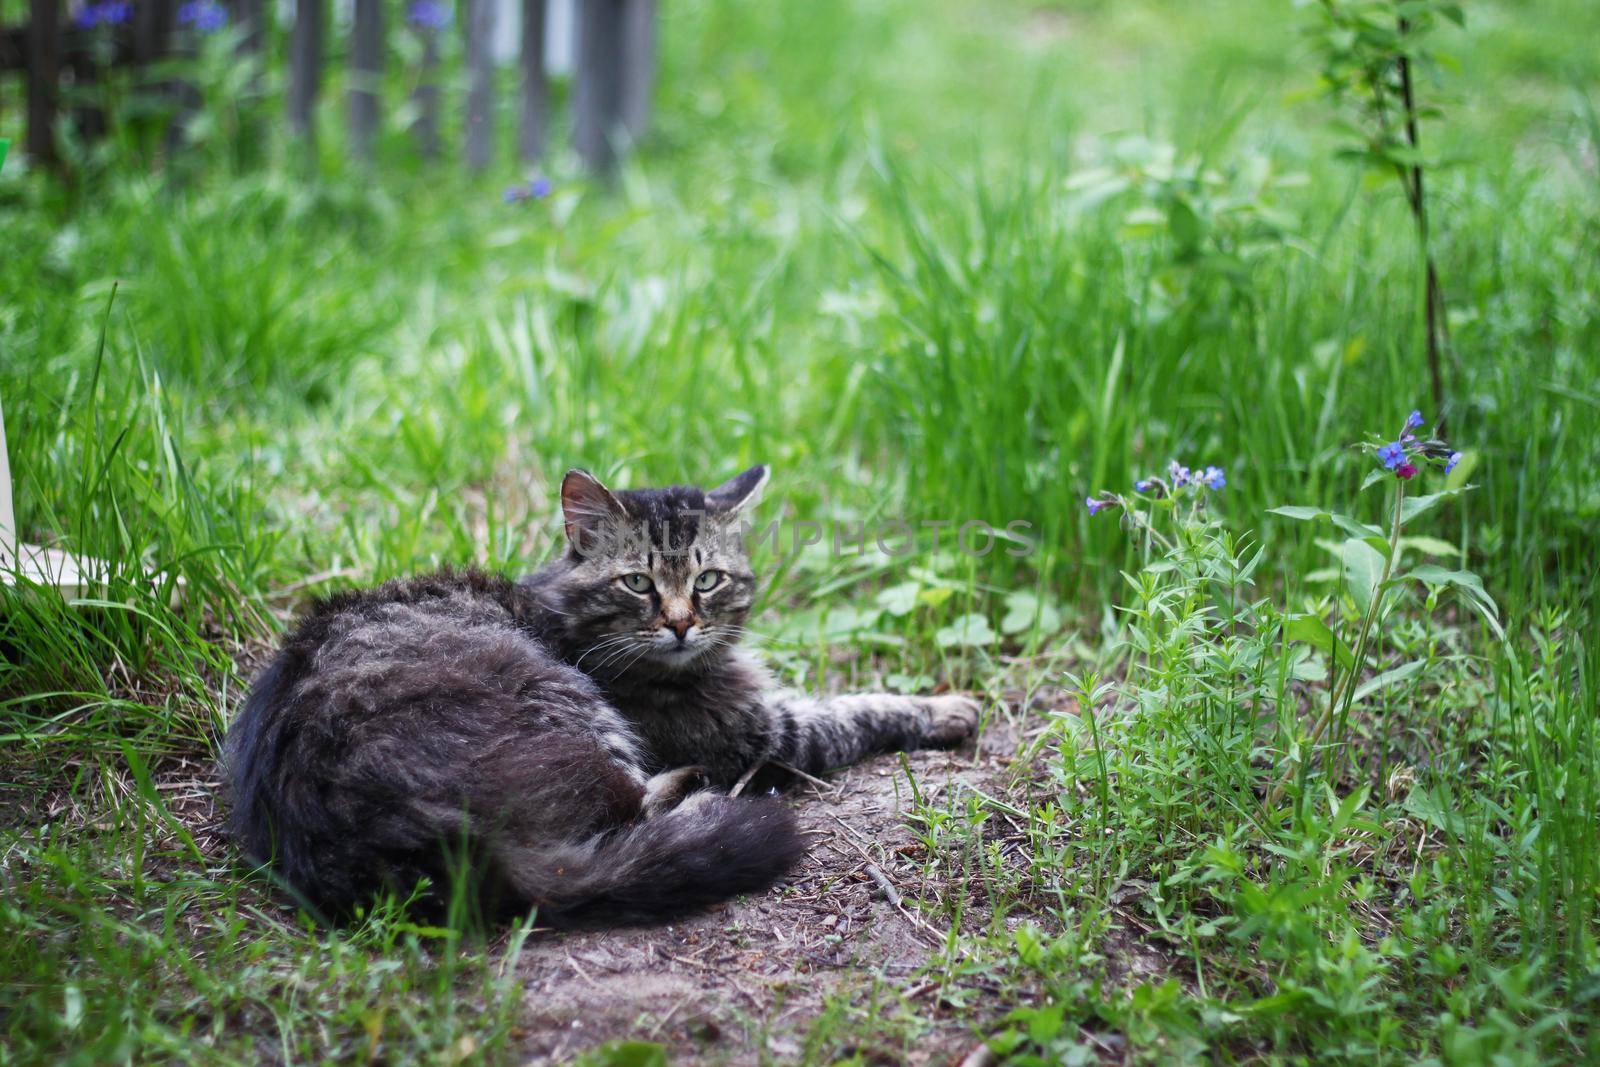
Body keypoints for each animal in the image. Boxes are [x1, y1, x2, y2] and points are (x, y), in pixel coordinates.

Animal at [224, 467, 972, 921]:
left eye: (707, 581)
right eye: (638, 583)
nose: (681, 623)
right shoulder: (766, 730)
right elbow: (860, 708)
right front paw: (948, 706)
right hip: (571, 704)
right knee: (628, 808)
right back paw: (697, 794)